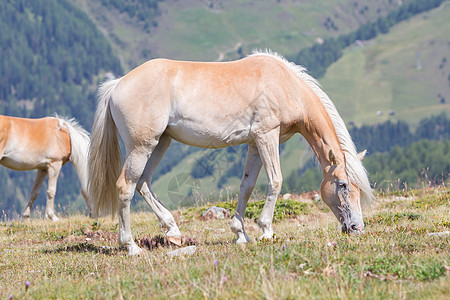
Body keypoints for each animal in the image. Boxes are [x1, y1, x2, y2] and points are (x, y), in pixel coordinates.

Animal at [88, 50, 372, 254]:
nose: (356, 227)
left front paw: (240, 234)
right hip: (142, 146)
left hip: (161, 142)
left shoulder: (255, 143)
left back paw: (173, 232)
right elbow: (275, 181)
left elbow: (247, 186)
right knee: (125, 186)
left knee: (143, 182)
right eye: (343, 184)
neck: (286, 86)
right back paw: (131, 246)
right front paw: (266, 230)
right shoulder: (267, 136)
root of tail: (117, 84)